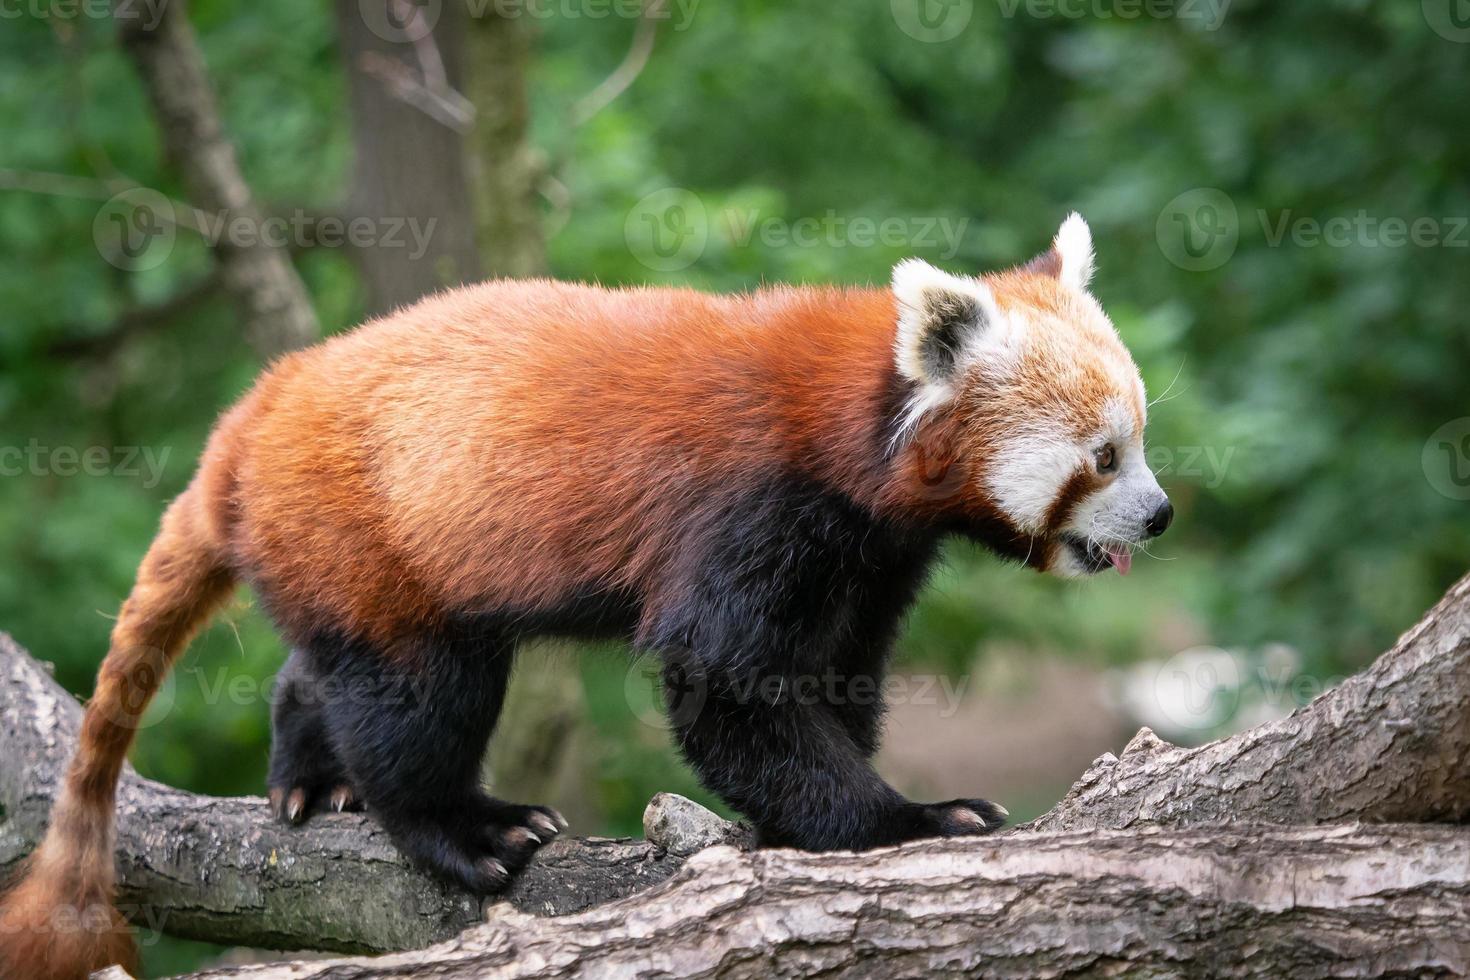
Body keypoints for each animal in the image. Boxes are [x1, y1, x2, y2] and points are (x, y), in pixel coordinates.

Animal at [0, 213, 1170, 975]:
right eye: (1104, 457)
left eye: (1140, 441)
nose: (1160, 515)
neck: (855, 426)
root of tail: (259, 408)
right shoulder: (751, 506)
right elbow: (725, 685)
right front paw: (904, 820)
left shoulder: (870, 556)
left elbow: (837, 674)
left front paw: (812, 818)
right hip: (374, 528)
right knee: (416, 692)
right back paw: (458, 825)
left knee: (322, 662)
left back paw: (309, 777)